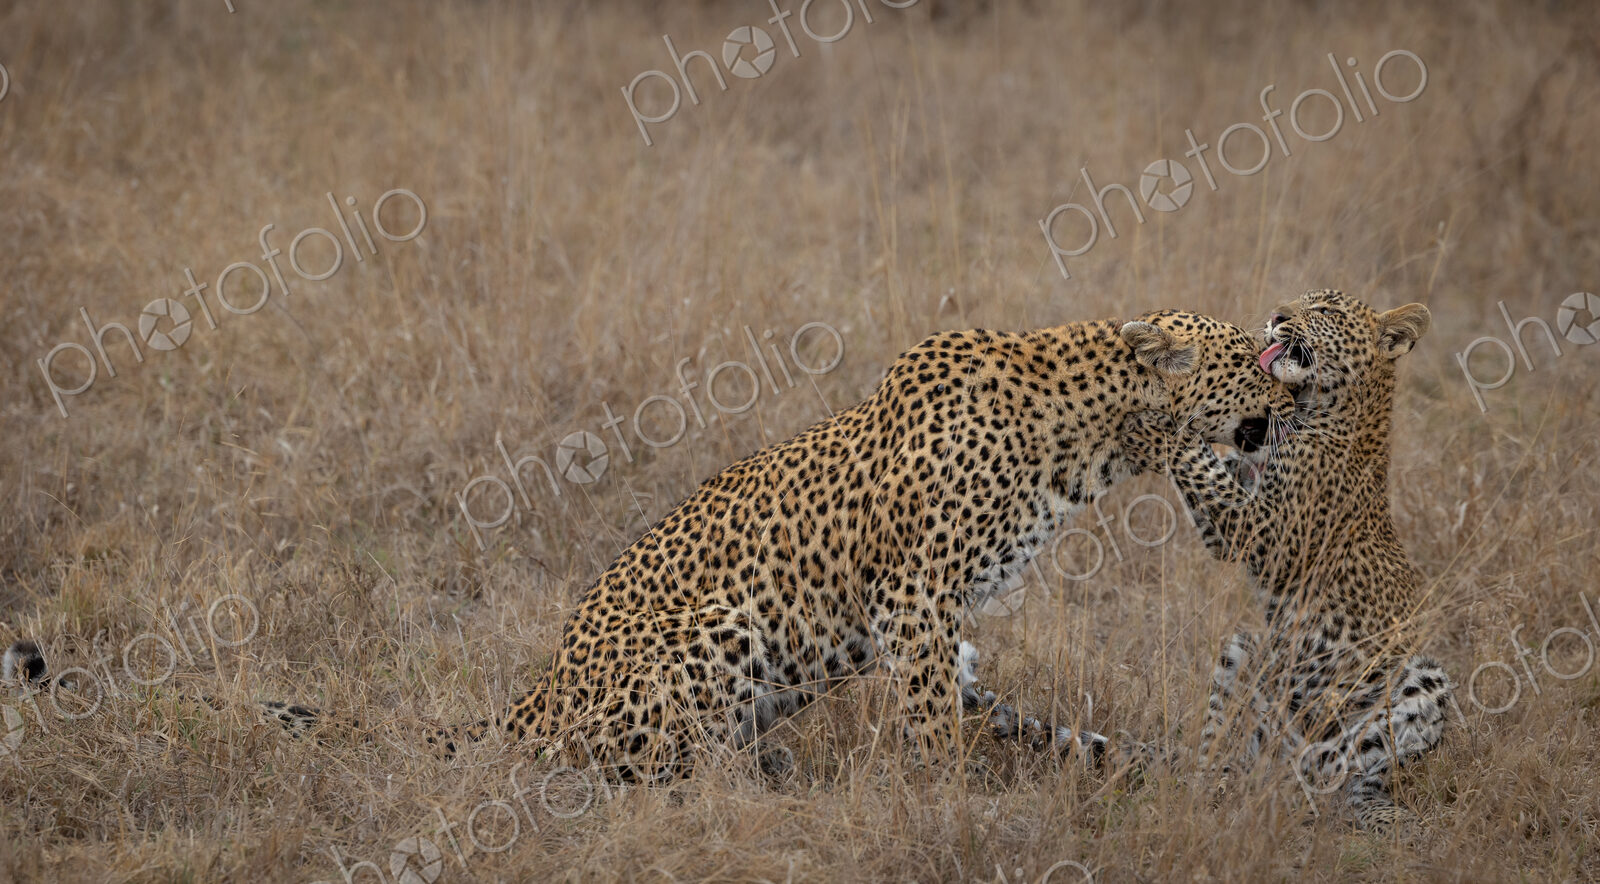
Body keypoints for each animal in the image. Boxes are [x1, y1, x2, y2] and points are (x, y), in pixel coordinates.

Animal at [7, 310, 1293, 782]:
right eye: (1247, 346)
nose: (1296, 360)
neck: (1090, 433)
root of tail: (529, 694)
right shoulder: (918, 600)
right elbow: (932, 723)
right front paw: (951, 804)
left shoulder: (941, 621)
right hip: (710, 632)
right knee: (625, 774)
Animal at [1119, 289, 1451, 829]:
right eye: (1300, 299)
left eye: (1327, 311)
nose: (1276, 316)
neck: (1318, 409)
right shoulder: (1233, 522)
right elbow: (1213, 470)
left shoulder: (1267, 533)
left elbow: (1198, 462)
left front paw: (1160, 424)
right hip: (1245, 654)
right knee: (1234, 750)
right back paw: (1213, 782)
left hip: (1423, 681)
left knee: (1347, 774)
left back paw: (1348, 800)